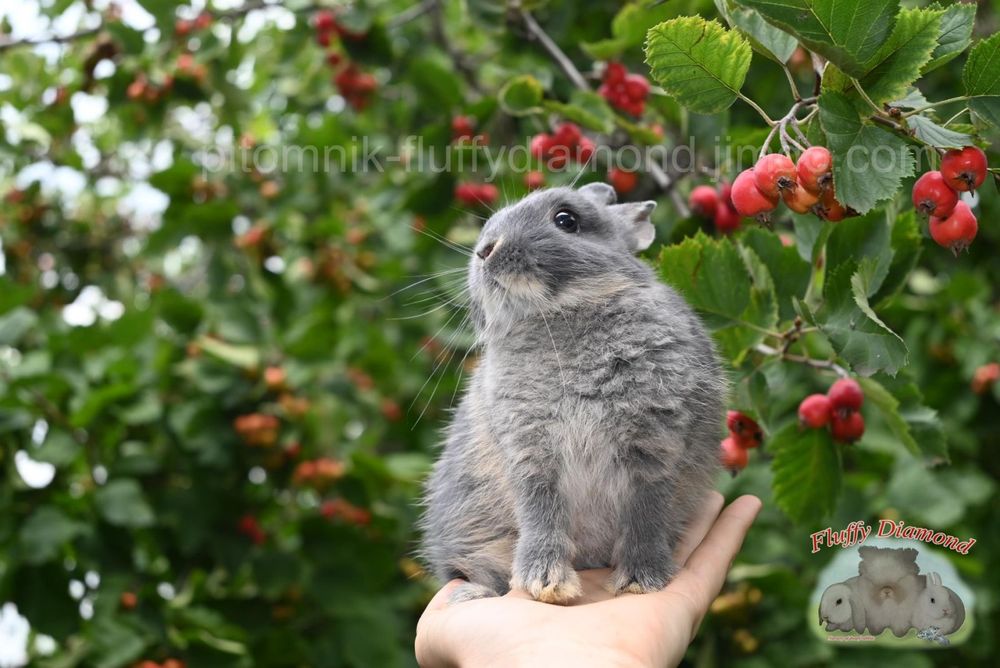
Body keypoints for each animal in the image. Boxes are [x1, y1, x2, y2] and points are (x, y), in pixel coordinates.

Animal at [420, 182, 726, 604]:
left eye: (566, 220)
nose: (485, 250)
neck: (561, 315)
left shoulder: (655, 442)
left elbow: (646, 513)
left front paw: (640, 580)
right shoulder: (530, 452)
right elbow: (541, 514)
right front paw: (546, 583)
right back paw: (474, 594)